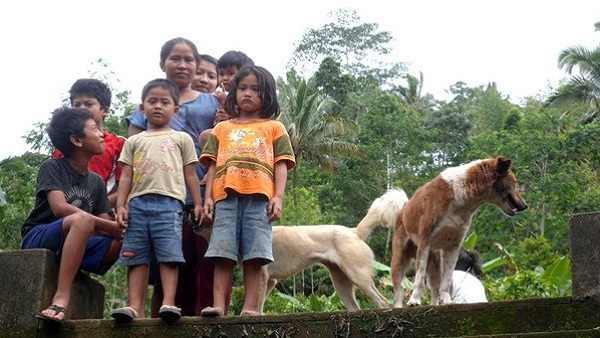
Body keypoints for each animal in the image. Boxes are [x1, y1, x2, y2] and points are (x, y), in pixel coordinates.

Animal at [258, 189, 412, 312]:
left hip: (358, 276)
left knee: (383, 301)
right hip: (341, 283)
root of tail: (354, 232)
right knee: (356, 309)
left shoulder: (264, 276)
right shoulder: (271, 281)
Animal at [382, 157, 528, 308]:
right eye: (514, 183)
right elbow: (419, 278)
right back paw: (399, 305)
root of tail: (403, 209)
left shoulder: (453, 247)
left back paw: (434, 304)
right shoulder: (425, 243)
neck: (461, 200)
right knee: (398, 292)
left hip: (434, 263)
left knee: (435, 289)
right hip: (399, 260)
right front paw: (414, 300)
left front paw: (447, 301)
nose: (525, 206)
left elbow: (446, 282)